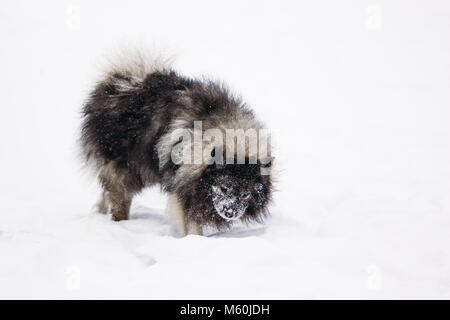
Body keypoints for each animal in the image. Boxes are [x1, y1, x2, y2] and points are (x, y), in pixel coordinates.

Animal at [79, 50, 272, 235]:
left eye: (246, 195)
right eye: (224, 188)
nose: (230, 213)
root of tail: (119, 82)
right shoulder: (183, 185)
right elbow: (192, 221)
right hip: (125, 169)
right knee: (118, 196)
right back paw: (119, 222)